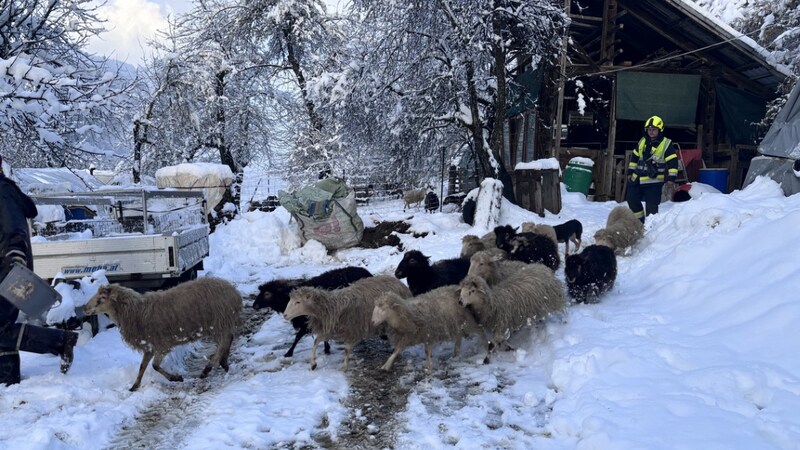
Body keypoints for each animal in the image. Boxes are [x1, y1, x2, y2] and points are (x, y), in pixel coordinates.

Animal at [83, 278, 244, 390]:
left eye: (102, 298)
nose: (85, 309)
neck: (135, 312)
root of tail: (234, 292)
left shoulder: (161, 343)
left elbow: (154, 366)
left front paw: (176, 378)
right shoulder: (149, 345)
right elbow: (142, 366)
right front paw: (134, 386)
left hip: (218, 321)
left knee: (223, 342)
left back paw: (207, 369)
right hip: (219, 323)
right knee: (228, 338)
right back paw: (223, 363)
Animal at [284, 276, 412, 370]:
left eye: (298, 302)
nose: (285, 315)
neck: (333, 307)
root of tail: (399, 283)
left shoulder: (353, 329)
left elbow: (346, 349)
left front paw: (344, 367)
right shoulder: (330, 328)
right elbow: (316, 341)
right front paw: (313, 363)